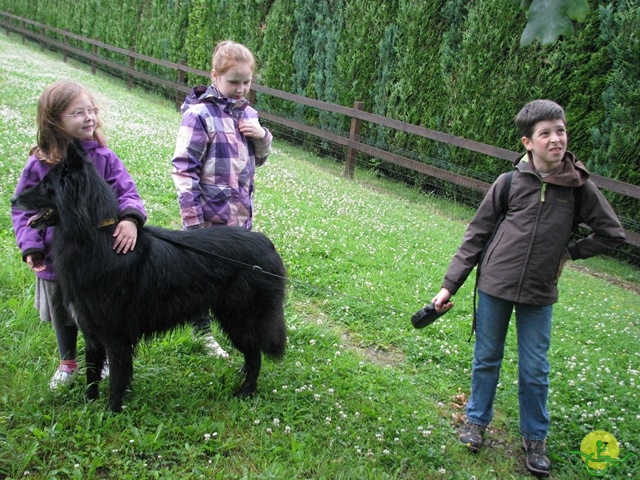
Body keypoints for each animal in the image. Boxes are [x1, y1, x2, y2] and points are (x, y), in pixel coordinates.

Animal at [11, 140, 286, 412]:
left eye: (46, 184)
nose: (13, 199)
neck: (94, 236)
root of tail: (268, 246)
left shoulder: (116, 336)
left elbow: (117, 378)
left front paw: (112, 412)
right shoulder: (92, 331)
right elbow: (92, 372)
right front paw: (88, 404)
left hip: (237, 318)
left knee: (255, 353)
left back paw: (246, 390)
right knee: (251, 352)